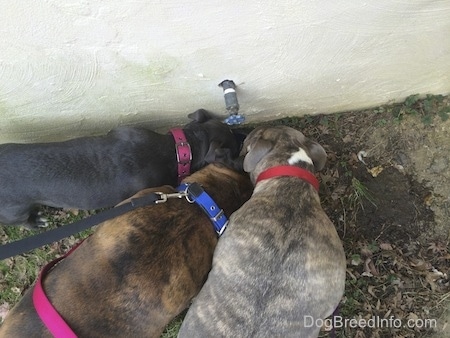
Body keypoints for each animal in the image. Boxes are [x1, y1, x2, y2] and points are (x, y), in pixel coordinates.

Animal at [0, 109, 241, 228]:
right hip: (16, 211)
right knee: (22, 223)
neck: (179, 148)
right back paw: (37, 222)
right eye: (233, 148)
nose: (244, 132)